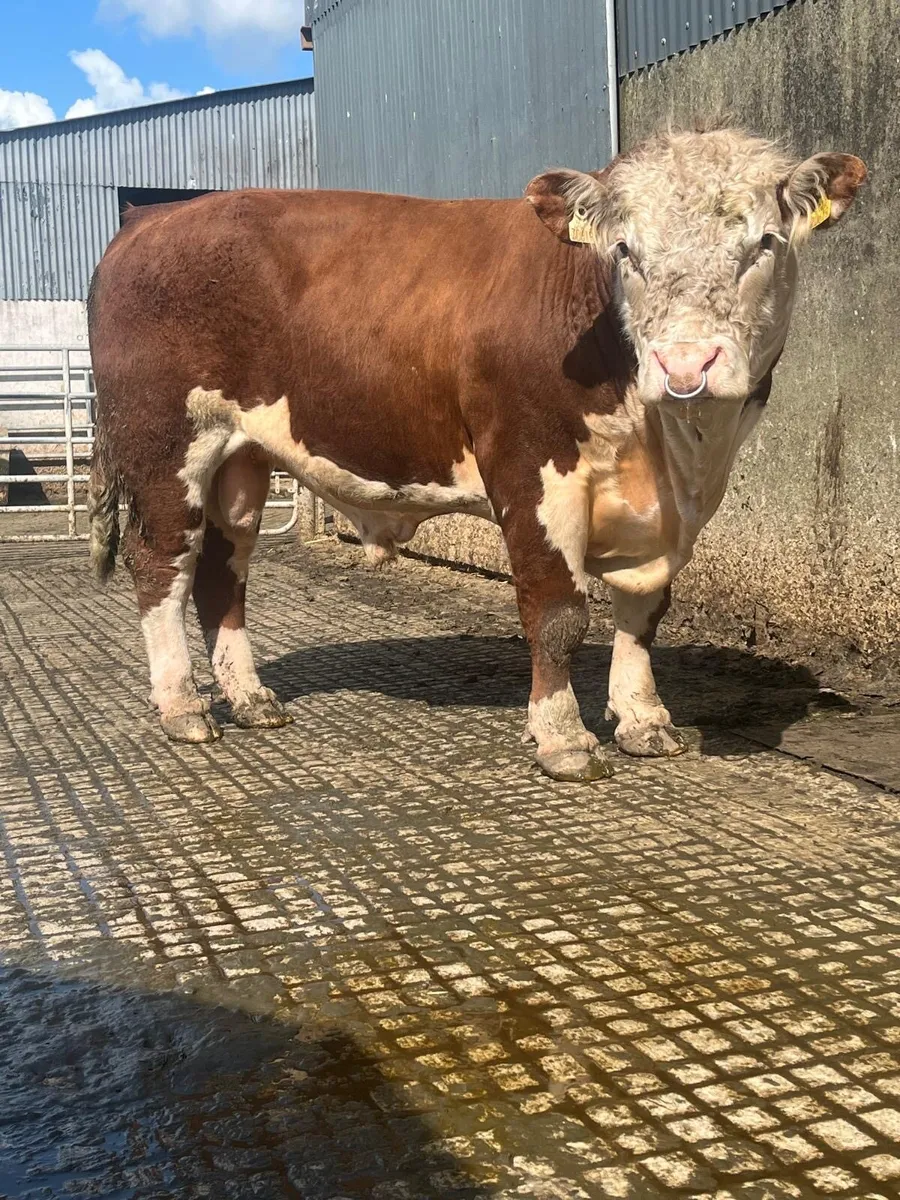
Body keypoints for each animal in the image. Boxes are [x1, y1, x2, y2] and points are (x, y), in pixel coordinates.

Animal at [87, 126, 866, 782]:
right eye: (626, 252)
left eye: (766, 243)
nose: (685, 364)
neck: (670, 452)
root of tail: (149, 219)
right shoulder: (532, 471)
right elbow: (557, 615)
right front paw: (563, 739)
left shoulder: (667, 514)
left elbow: (643, 613)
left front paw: (645, 721)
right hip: (166, 445)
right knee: (162, 565)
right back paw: (183, 707)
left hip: (240, 459)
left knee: (222, 573)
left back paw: (250, 698)